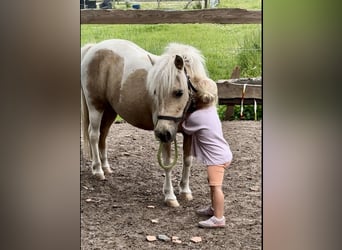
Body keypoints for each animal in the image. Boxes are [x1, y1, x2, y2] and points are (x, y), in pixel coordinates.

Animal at [81, 39, 207, 207]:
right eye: (155, 92)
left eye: (179, 92)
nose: (161, 132)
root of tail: (94, 47)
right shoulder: (167, 137)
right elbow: (168, 164)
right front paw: (170, 196)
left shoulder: (187, 134)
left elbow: (187, 161)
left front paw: (185, 191)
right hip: (96, 107)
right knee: (94, 135)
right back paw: (98, 170)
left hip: (110, 111)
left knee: (103, 136)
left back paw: (106, 167)